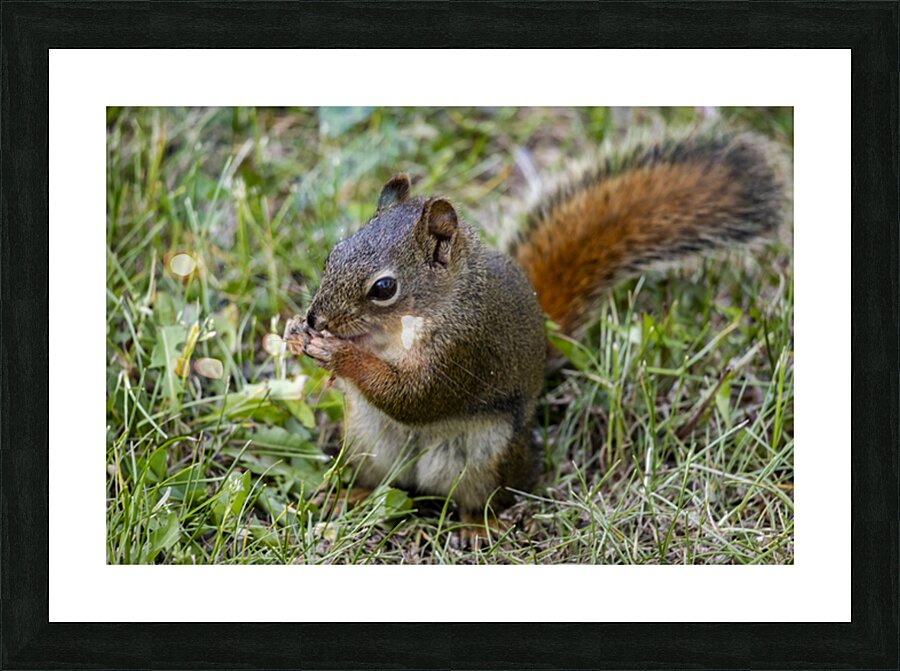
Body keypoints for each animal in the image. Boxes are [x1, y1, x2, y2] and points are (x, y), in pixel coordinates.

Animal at [284, 125, 787, 538]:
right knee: (382, 483)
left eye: (384, 288)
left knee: (487, 496)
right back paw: (349, 497)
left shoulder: (465, 348)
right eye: (333, 253)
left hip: (488, 458)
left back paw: (477, 526)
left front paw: (340, 355)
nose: (315, 319)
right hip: (366, 441)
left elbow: (416, 397)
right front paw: (299, 337)